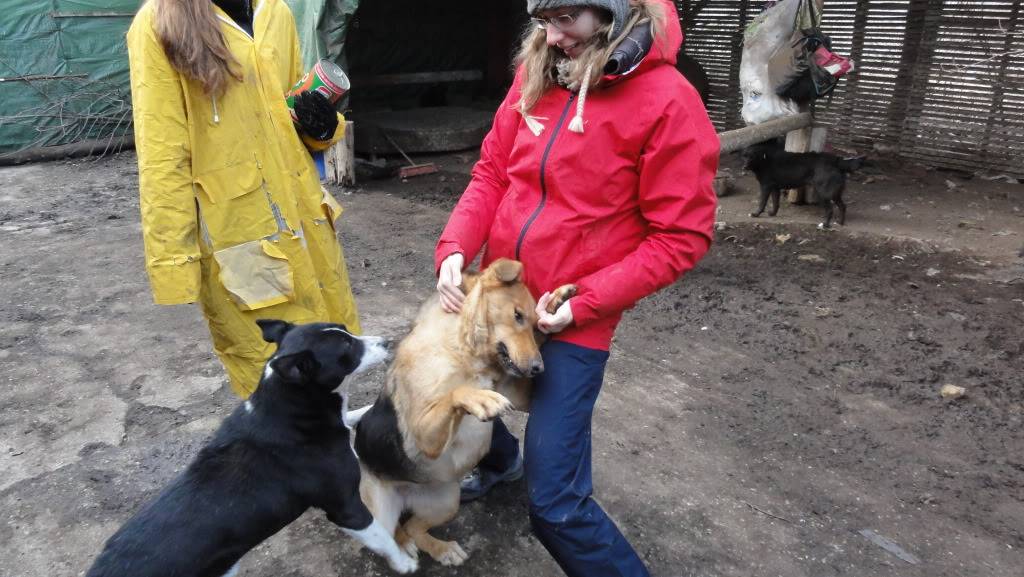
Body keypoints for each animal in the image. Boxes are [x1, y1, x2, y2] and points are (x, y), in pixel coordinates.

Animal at [86, 319, 417, 577]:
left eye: (347, 330)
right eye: (346, 347)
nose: (387, 341)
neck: (290, 408)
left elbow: (353, 416)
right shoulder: (345, 507)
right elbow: (382, 537)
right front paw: (405, 562)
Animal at [350, 259, 577, 565]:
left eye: (532, 323)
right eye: (517, 315)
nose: (538, 369)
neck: (465, 351)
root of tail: (407, 495)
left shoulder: (522, 395)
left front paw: (556, 301)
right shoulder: (423, 436)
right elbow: (455, 394)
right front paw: (481, 399)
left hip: (449, 501)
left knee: (413, 528)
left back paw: (441, 549)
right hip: (380, 513)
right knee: (393, 532)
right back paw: (404, 548)